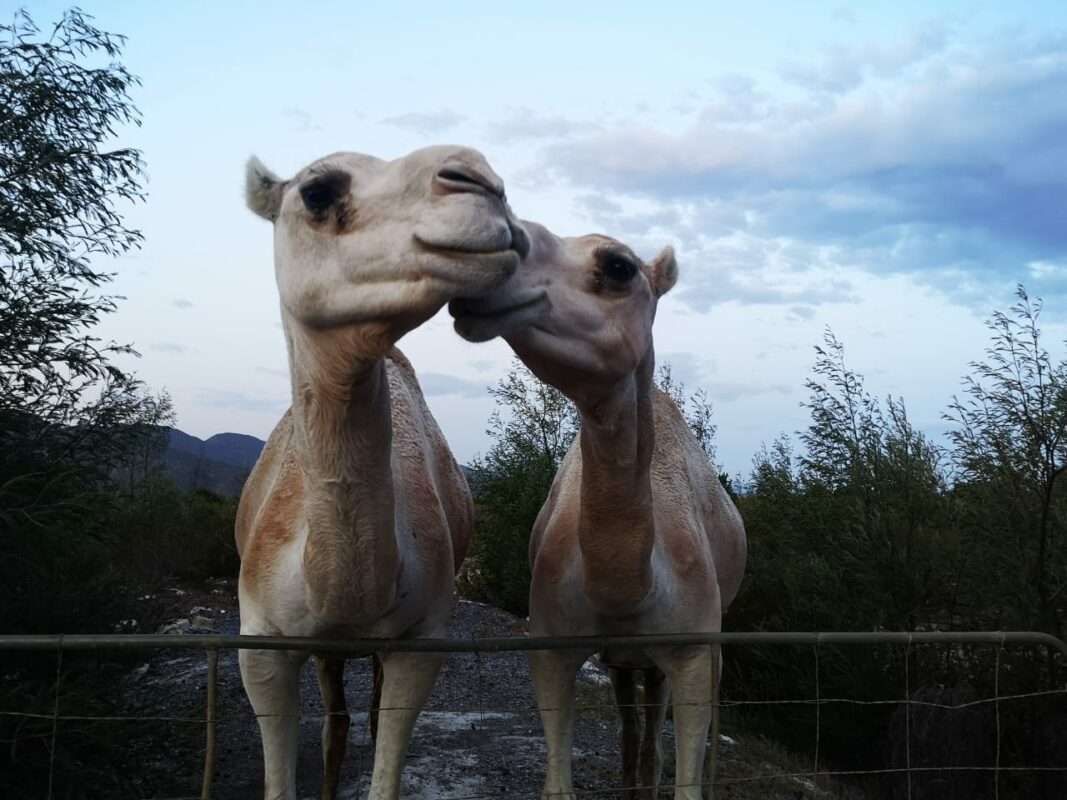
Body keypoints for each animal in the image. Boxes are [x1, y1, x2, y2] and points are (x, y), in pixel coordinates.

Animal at [450, 224, 747, 800]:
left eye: (618, 267)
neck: (627, 589)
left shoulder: (695, 654)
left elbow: (685, 779)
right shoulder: (550, 646)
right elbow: (559, 782)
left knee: (656, 738)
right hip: (622, 661)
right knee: (633, 733)